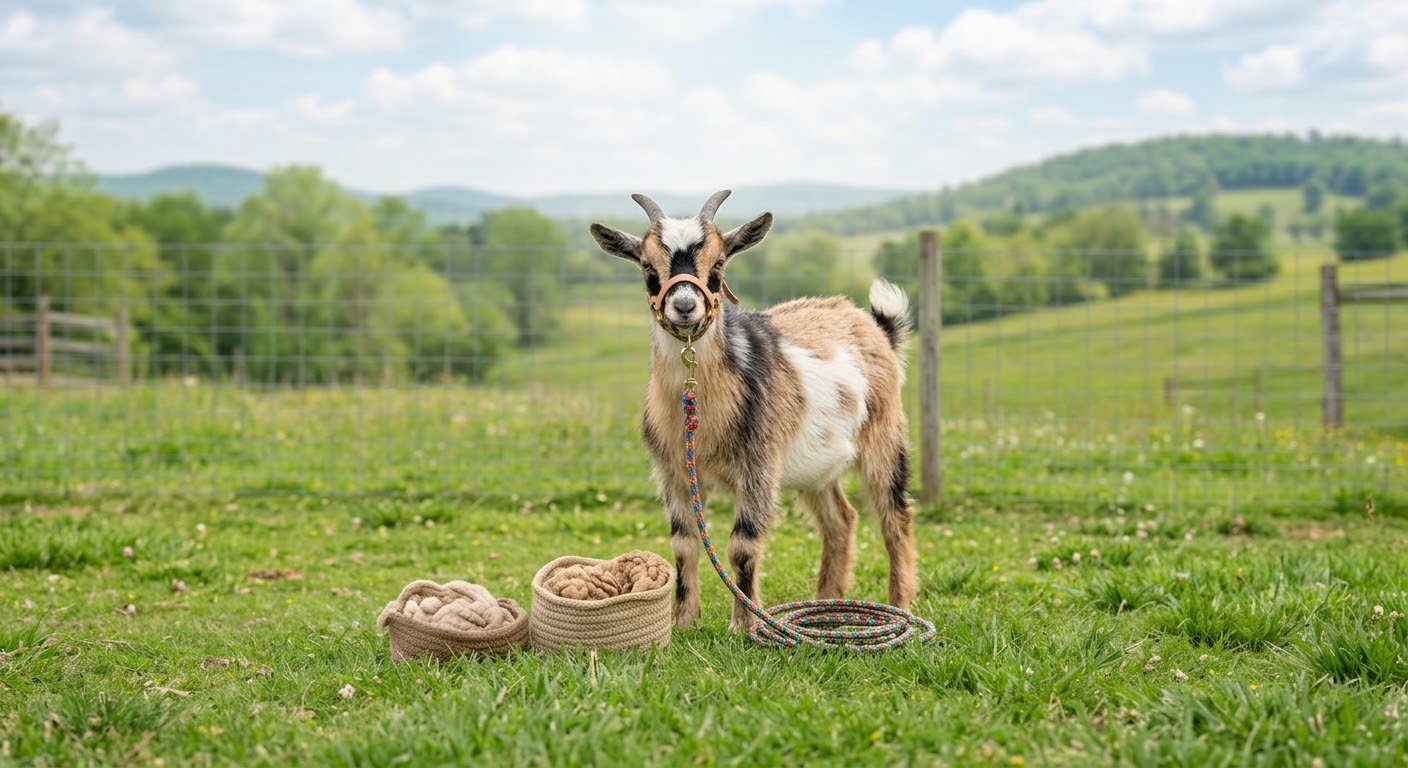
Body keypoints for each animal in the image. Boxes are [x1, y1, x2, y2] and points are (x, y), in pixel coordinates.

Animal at [589, 190, 919, 630]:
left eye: (718, 264)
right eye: (647, 266)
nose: (684, 306)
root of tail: (877, 329)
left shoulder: (759, 465)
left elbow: (742, 544)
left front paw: (745, 624)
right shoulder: (673, 470)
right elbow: (684, 543)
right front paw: (683, 621)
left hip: (885, 436)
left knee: (894, 516)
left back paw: (900, 604)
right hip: (813, 466)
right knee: (841, 519)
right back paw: (825, 602)